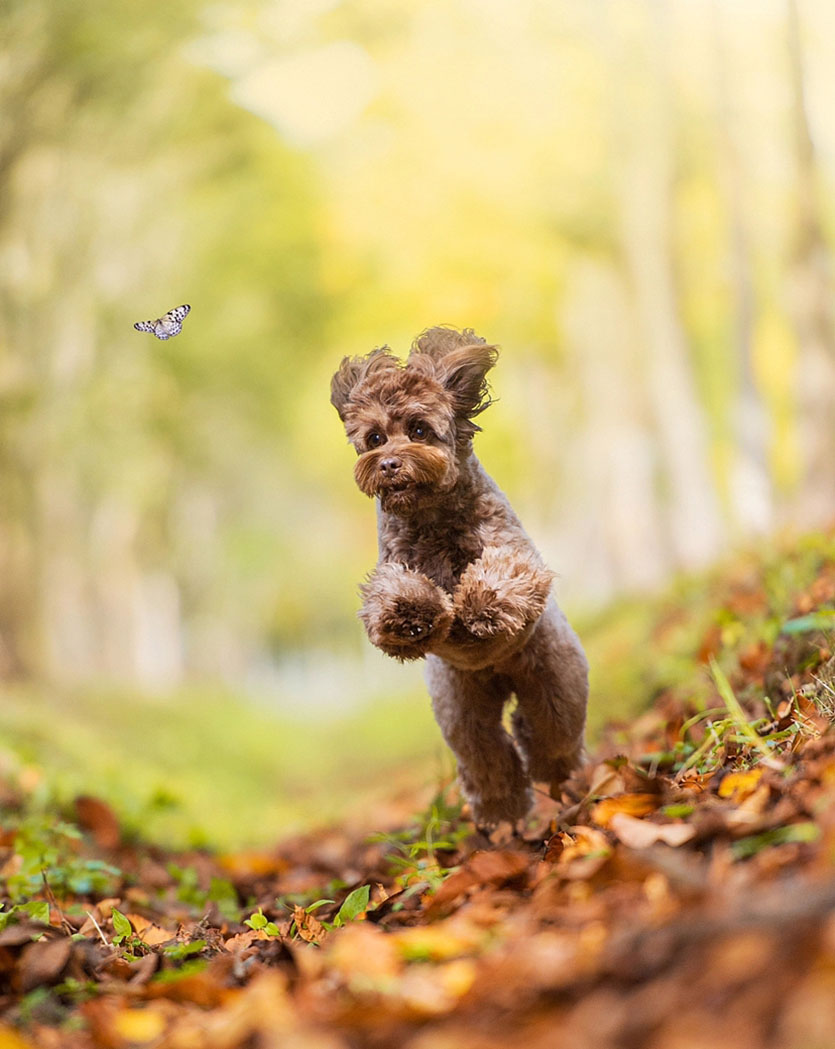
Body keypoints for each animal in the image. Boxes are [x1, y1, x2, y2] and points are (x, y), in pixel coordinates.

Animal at [329, 323, 591, 822]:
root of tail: (500, 676)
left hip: (555, 683)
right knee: (487, 756)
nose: (388, 463)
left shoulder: (513, 553)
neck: (432, 519)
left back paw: (557, 773)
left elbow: (504, 575)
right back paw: (501, 809)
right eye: (374, 438)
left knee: (549, 737)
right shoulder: (394, 565)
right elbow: (391, 595)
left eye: (418, 429)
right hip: (460, 710)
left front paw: (481, 606)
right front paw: (410, 613)